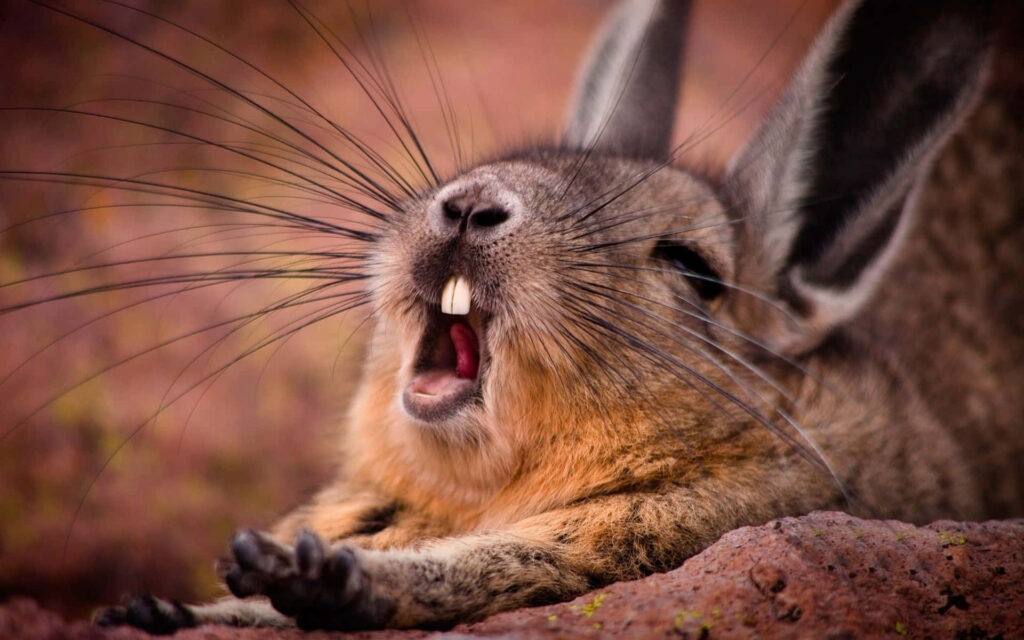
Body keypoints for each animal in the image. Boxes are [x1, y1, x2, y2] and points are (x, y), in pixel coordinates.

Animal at [50, 0, 1024, 631]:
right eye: (505, 159)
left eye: (694, 269)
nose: (471, 204)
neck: (465, 490)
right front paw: (161, 605)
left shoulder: (648, 535)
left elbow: (486, 566)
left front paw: (293, 575)